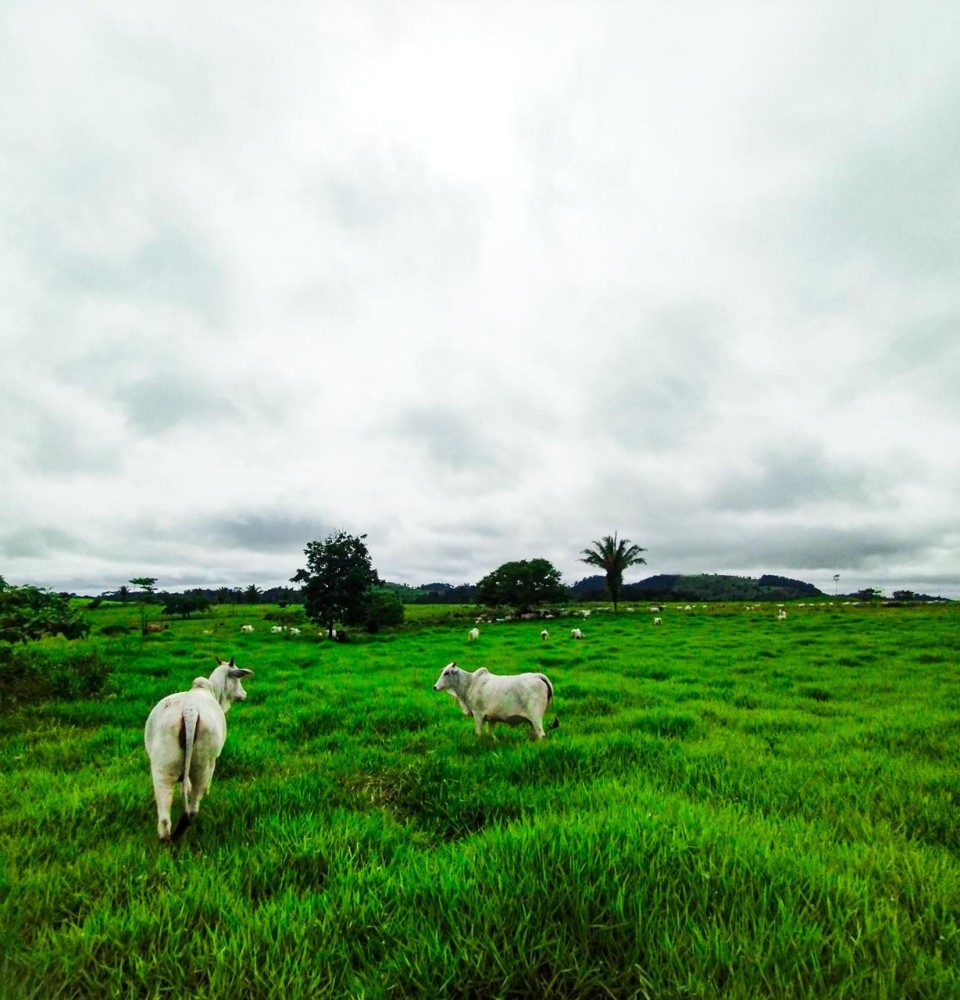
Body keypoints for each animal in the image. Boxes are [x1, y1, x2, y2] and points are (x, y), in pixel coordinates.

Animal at [142, 660, 253, 840]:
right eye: (237, 679)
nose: (244, 694)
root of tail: (190, 710)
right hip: (204, 764)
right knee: (192, 809)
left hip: (162, 766)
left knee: (165, 817)